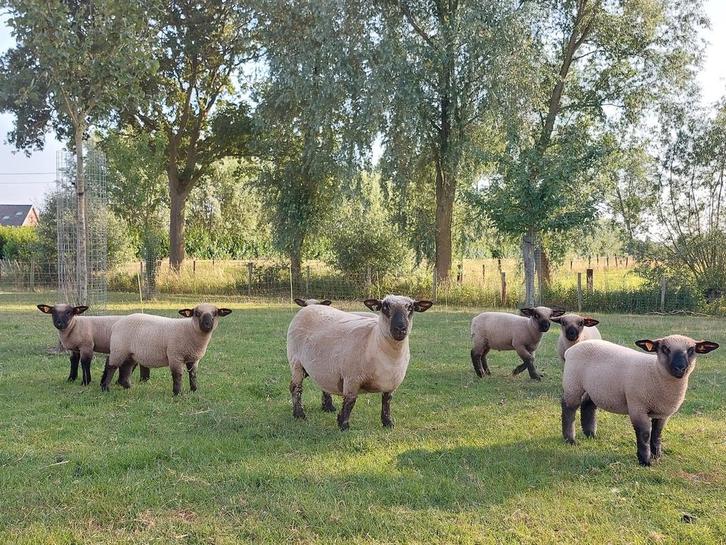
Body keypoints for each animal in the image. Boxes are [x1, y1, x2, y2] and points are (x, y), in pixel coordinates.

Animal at [102, 304, 231, 395]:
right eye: (197, 313)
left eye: (215, 313)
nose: (207, 324)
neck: (190, 330)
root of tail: (116, 324)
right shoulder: (175, 356)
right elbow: (177, 375)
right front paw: (177, 393)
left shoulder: (194, 358)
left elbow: (193, 375)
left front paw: (194, 390)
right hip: (119, 349)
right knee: (111, 366)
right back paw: (105, 389)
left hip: (130, 354)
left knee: (125, 369)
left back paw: (128, 387)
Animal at [287, 294, 433, 430]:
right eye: (385, 307)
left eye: (411, 308)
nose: (400, 329)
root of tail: (309, 308)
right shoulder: (352, 378)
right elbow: (350, 401)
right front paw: (344, 425)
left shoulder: (391, 383)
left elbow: (387, 402)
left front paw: (388, 423)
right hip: (296, 363)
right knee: (295, 388)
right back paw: (299, 414)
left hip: (321, 368)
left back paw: (326, 407)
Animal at [561, 335, 719, 466]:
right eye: (665, 348)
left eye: (692, 350)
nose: (680, 368)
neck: (655, 372)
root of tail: (570, 350)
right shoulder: (638, 407)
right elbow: (644, 434)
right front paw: (645, 461)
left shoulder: (662, 413)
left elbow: (657, 434)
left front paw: (657, 456)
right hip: (573, 383)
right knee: (569, 408)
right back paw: (570, 440)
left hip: (595, 388)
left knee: (587, 405)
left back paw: (591, 435)